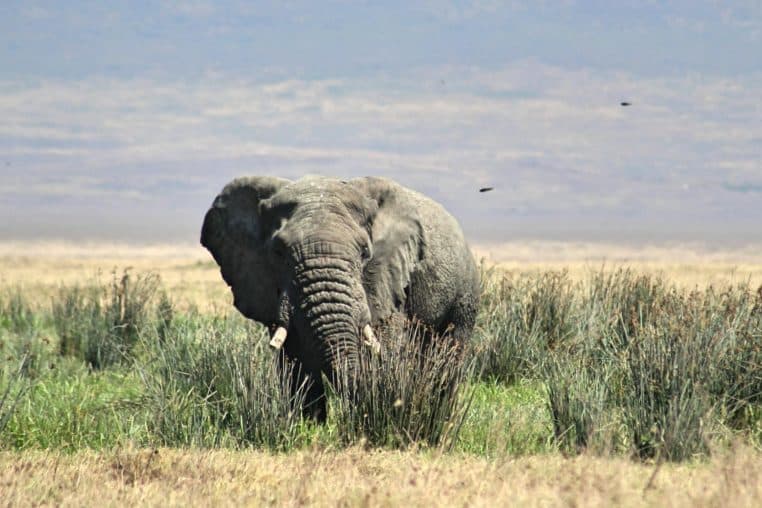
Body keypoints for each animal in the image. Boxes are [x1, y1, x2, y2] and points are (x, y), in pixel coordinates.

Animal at [200, 175, 480, 421]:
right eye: (278, 253)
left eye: (365, 252)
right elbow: (294, 360)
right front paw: (309, 427)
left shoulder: (387, 283)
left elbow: (382, 350)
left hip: (465, 294)